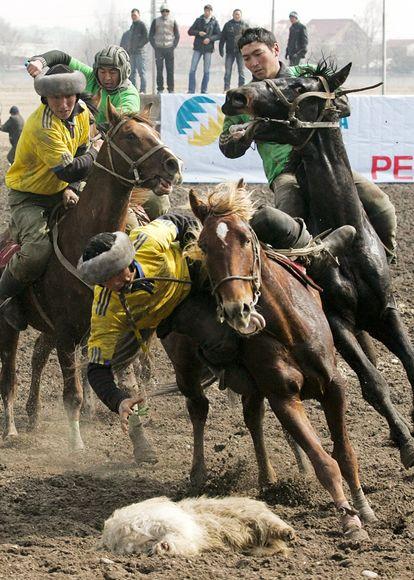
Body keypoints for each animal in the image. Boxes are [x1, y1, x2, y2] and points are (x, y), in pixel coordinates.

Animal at [0, 99, 182, 448]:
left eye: (155, 131)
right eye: (129, 135)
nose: (172, 163)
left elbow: (123, 383)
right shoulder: (67, 334)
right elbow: (73, 392)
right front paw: (76, 443)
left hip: (47, 327)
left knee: (37, 355)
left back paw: (34, 413)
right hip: (11, 329)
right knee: (9, 376)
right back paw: (11, 427)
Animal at [163, 182, 376, 540]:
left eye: (246, 238)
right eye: (204, 245)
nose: (238, 308)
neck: (291, 328)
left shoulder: (334, 386)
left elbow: (345, 454)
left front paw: (364, 508)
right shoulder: (284, 397)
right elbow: (324, 462)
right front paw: (349, 520)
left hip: (250, 386)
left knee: (253, 418)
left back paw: (268, 479)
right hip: (186, 371)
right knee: (198, 409)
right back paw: (199, 474)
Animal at [223, 60, 414, 466]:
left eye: (297, 85)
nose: (235, 96)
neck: (347, 242)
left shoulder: (386, 311)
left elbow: (409, 364)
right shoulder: (337, 322)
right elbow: (373, 382)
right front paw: (407, 442)